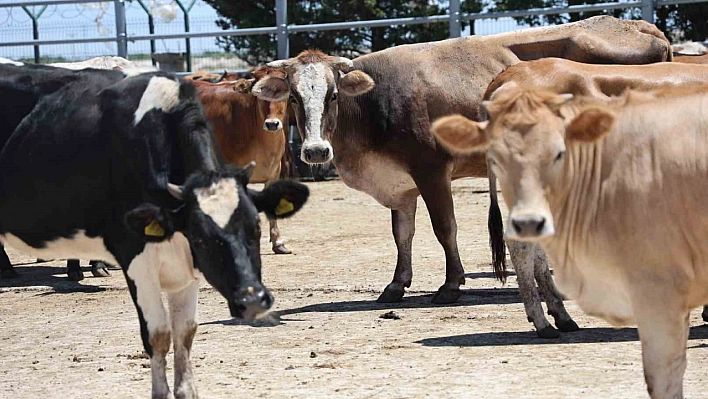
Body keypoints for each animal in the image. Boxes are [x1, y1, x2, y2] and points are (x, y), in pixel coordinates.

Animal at [253, 16, 668, 340]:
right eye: (293, 97)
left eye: (334, 95)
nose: (315, 151)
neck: (373, 104)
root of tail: (641, 25)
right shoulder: (401, 184)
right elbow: (402, 234)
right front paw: (396, 284)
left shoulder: (432, 169)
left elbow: (444, 228)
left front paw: (451, 284)